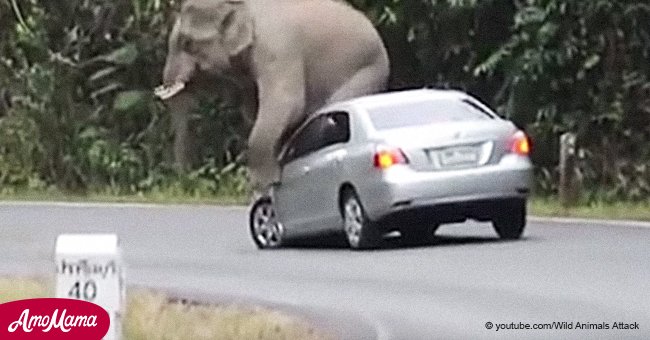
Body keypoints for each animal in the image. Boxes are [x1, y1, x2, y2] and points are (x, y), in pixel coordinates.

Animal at [154, 0, 388, 191]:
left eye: (187, 43)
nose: (186, 183)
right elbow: (254, 109)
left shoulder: (278, 49)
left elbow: (287, 103)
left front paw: (265, 185)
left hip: (366, 72)